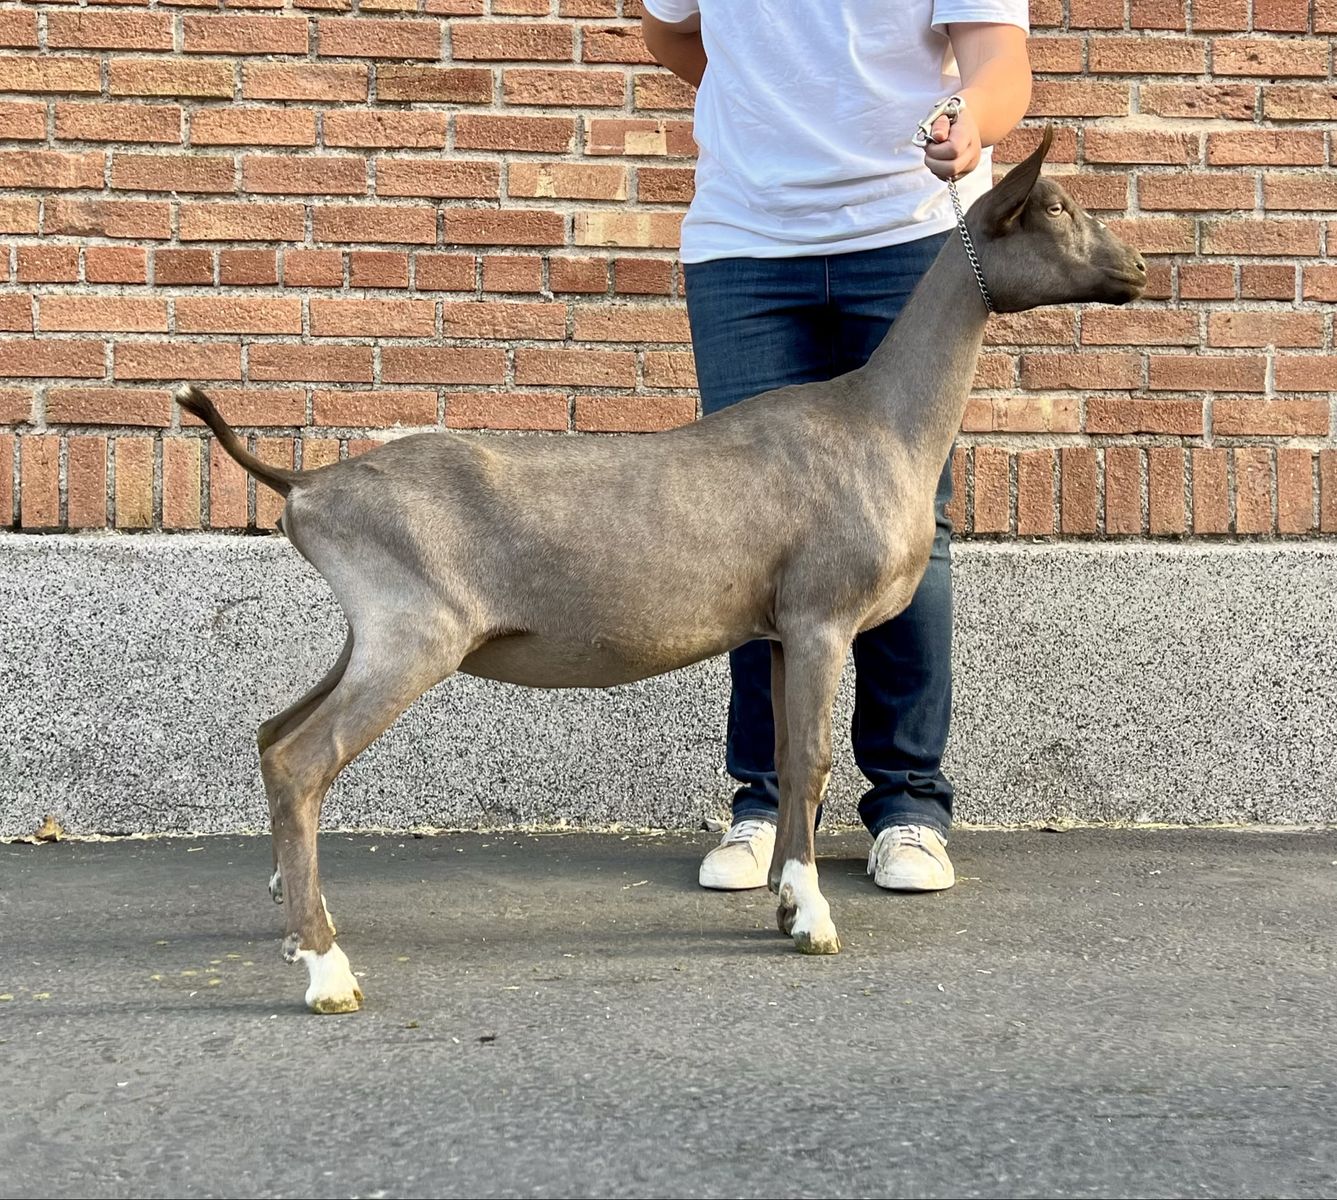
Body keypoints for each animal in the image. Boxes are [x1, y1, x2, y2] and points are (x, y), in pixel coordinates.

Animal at [176, 127, 1145, 1013]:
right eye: (1055, 205)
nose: (1136, 266)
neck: (878, 420)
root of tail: (307, 485)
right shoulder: (821, 615)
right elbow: (812, 758)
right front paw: (812, 917)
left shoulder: (779, 628)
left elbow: (788, 755)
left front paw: (785, 901)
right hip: (412, 633)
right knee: (302, 760)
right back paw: (326, 969)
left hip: (368, 633)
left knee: (272, 734)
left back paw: (288, 907)